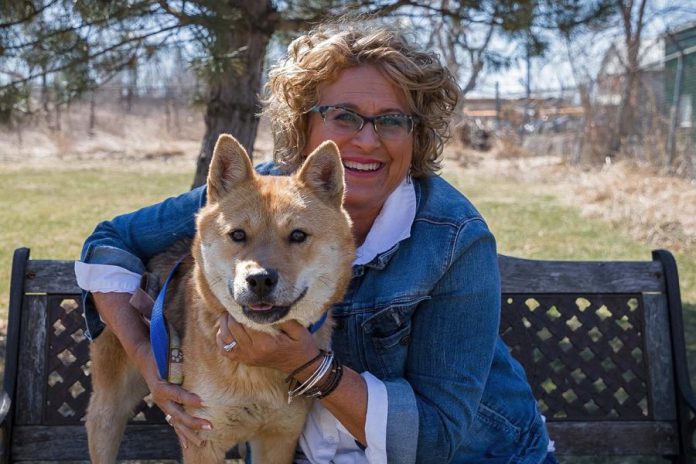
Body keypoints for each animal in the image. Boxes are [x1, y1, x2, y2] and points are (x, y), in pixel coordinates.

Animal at [85, 135, 354, 464]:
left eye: (298, 235)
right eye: (238, 234)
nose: (259, 279)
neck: (257, 371)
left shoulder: (280, 437)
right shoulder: (202, 438)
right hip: (108, 414)